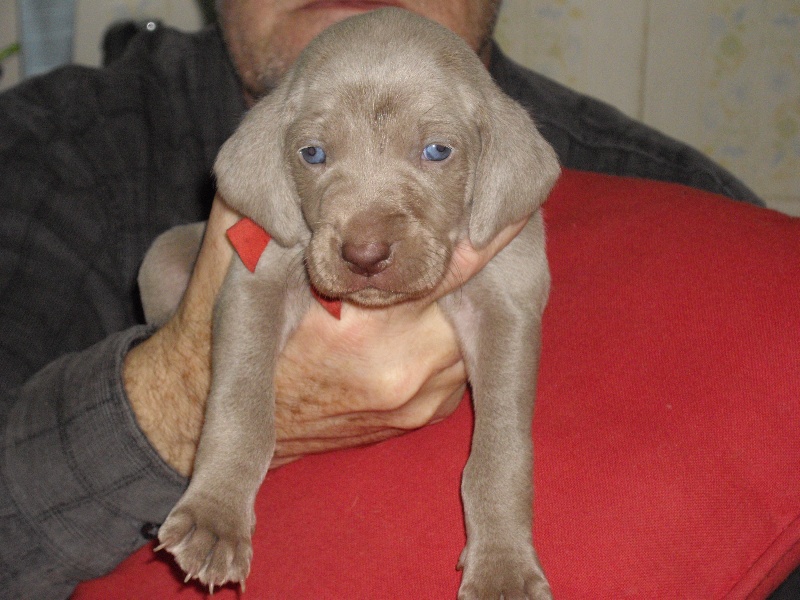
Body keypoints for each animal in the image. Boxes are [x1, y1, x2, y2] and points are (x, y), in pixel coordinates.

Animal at [145, 7, 564, 596]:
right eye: (312, 153)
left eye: (438, 150)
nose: (364, 255)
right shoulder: (256, 279)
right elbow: (239, 405)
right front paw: (214, 518)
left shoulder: (509, 303)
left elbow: (500, 449)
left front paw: (503, 566)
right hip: (160, 258)